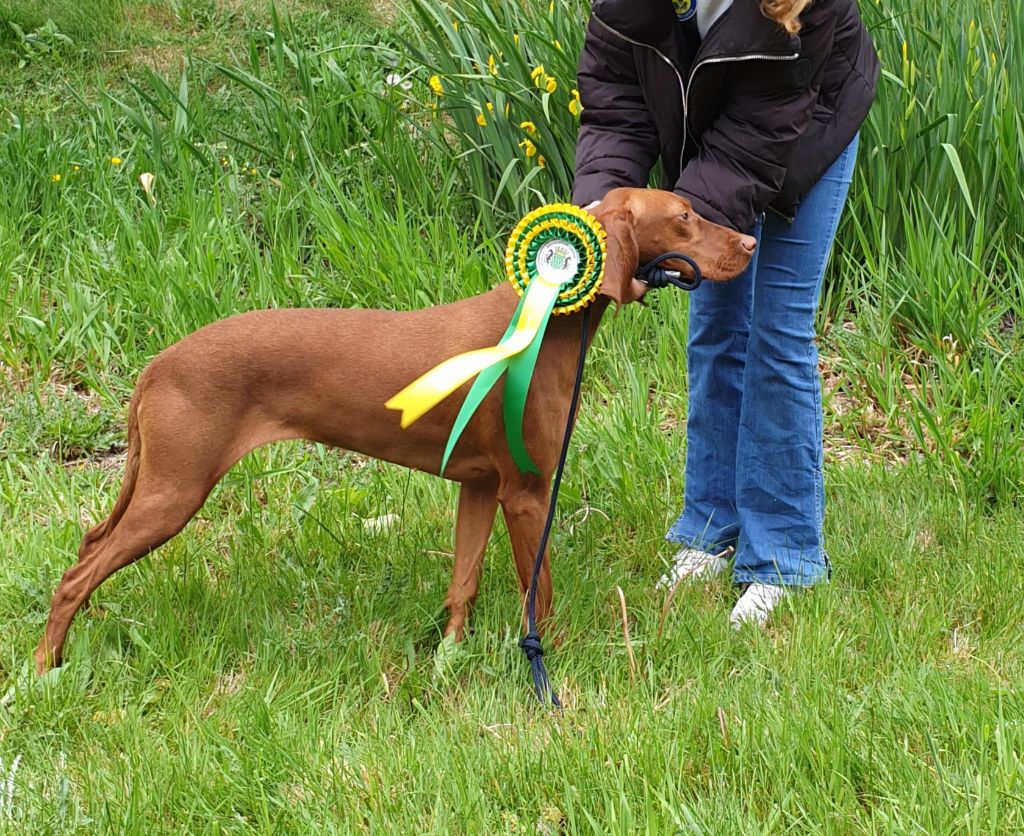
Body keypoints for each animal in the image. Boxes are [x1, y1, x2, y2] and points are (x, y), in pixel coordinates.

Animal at [34, 189, 753, 672]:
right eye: (684, 215)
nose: (750, 244)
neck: (545, 319)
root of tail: (157, 364)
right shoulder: (525, 492)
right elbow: (538, 593)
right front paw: (546, 663)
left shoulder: (480, 486)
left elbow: (462, 582)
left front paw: (449, 658)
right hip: (173, 493)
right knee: (76, 575)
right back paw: (44, 670)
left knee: (87, 551)